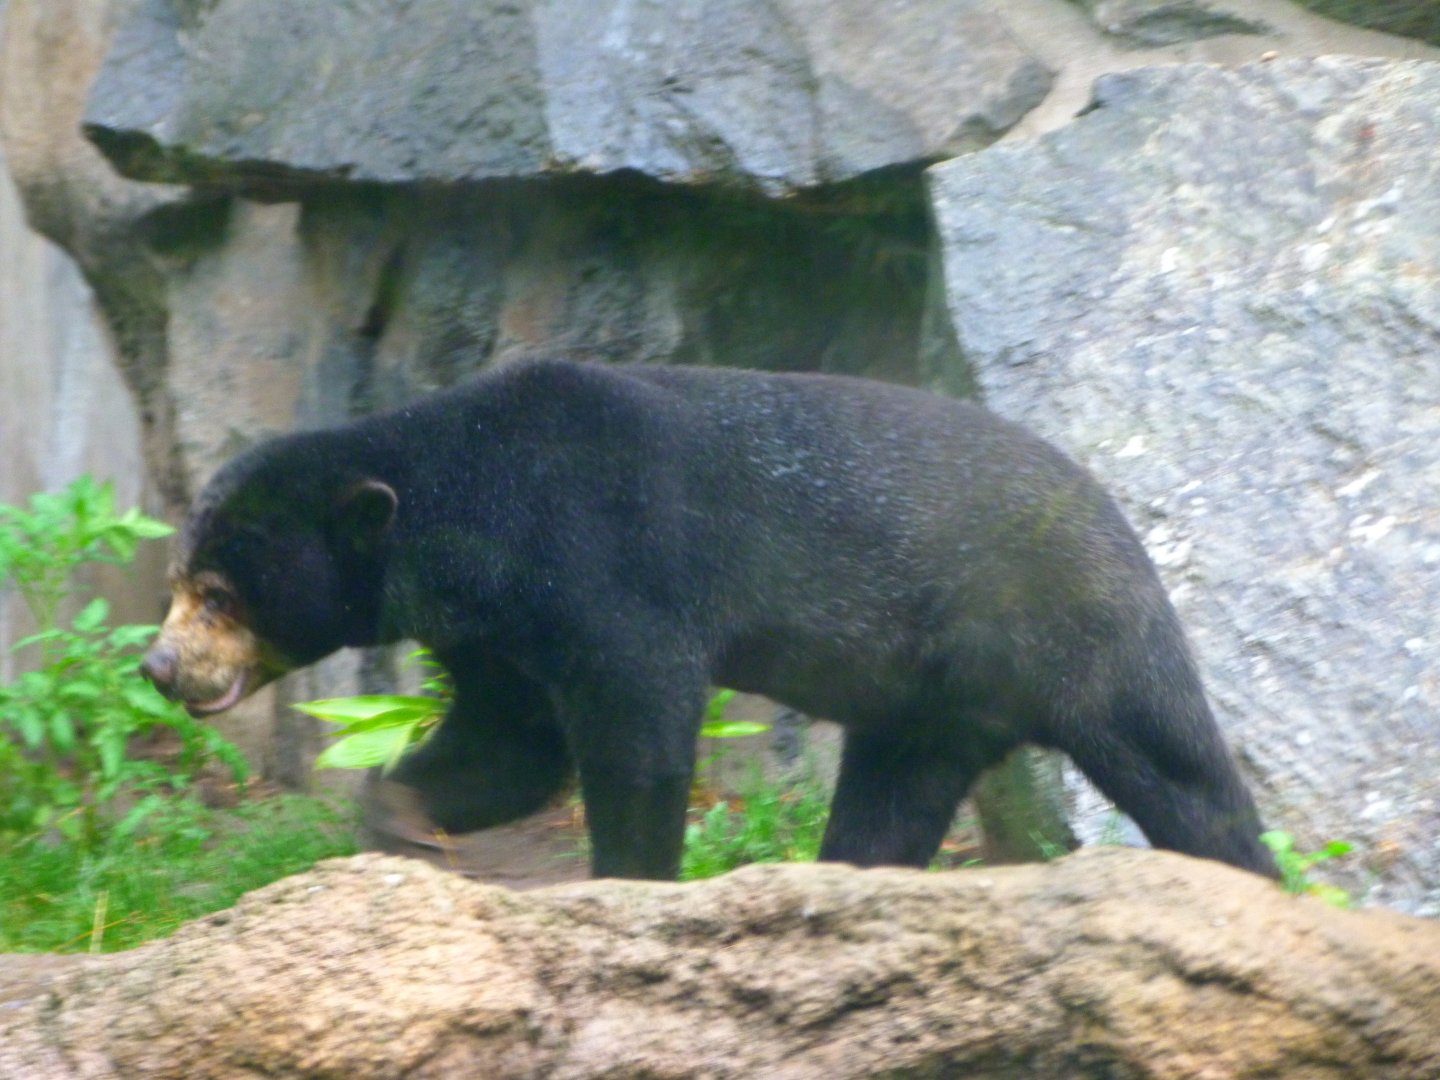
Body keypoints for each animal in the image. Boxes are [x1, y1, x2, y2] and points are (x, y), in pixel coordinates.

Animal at [142, 358, 1278, 881]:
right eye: (182, 577)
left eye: (220, 596)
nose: (160, 667)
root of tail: (1115, 511)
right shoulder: (501, 636)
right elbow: (511, 742)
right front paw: (405, 816)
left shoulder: (606, 564)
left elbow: (635, 725)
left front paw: (630, 875)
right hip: (933, 697)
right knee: (892, 795)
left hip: (1065, 622)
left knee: (1175, 765)